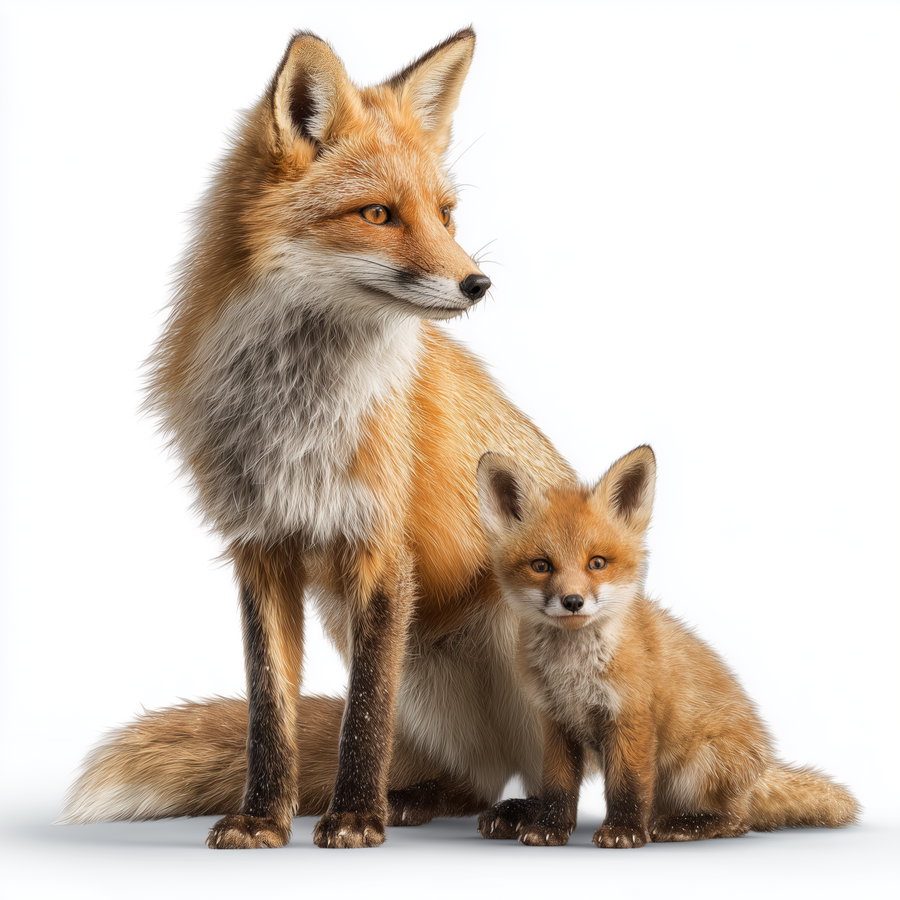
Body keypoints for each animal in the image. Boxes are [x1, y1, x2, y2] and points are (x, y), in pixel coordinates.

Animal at [62, 29, 576, 847]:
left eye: (446, 215)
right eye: (378, 213)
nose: (478, 283)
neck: (296, 414)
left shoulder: (382, 553)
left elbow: (363, 712)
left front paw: (355, 816)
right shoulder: (260, 548)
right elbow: (271, 713)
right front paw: (262, 819)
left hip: (522, 627)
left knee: (566, 762)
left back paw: (542, 815)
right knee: (469, 775)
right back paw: (426, 797)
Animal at [475, 445, 860, 848]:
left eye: (597, 563)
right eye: (541, 565)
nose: (573, 601)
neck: (574, 672)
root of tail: (760, 772)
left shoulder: (633, 716)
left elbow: (628, 785)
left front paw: (624, 831)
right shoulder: (556, 722)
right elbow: (558, 786)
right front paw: (550, 827)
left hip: (701, 765)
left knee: (738, 821)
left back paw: (681, 826)